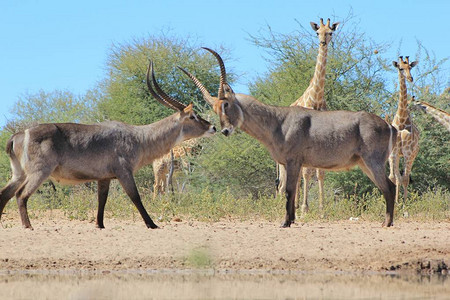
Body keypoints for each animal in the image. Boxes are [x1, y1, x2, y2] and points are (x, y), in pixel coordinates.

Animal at [0, 61, 216, 230]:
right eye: (193, 116)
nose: (213, 127)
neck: (139, 137)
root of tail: (19, 134)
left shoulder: (103, 178)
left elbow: (101, 201)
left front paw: (100, 225)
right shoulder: (124, 172)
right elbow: (135, 197)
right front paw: (152, 224)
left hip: (19, 174)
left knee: (5, 194)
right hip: (39, 172)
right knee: (20, 195)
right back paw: (28, 226)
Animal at [179, 47, 398, 227]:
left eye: (226, 104)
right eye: (215, 108)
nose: (225, 131)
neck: (277, 120)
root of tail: (390, 126)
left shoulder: (293, 162)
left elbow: (289, 191)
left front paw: (286, 222)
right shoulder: (287, 164)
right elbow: (289, 190)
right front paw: (291, 220)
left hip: (373, 162)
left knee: (389, 186)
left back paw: (387, 223)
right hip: (364, 164)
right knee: (389, 187)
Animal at [278, 17, 338, 214]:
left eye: (330, 32)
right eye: (317, 32)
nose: (322, 42)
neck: (316, 98)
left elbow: (319, 172)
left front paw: (321, 208)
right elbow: (306, 173)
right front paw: (305, 208)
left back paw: (294, 204)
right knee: (285, 181)